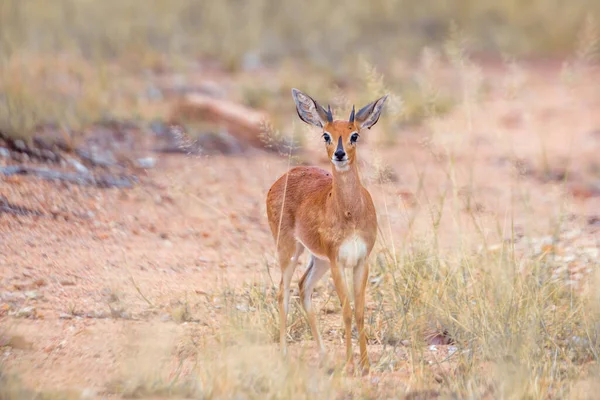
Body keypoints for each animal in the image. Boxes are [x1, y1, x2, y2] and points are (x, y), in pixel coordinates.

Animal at [264, 87, 386, 376]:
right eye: (326, 135)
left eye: (354, 134)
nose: (339, 154)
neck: (350, 214)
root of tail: (283, 178)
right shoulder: (337, 262)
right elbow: (346, 310)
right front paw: (351, 365)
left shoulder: (361, 261)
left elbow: (360, 311)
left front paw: (366, 366)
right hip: (289, 250)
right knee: (282, 292)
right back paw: (284, 354)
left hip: (317, 259)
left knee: (303, 287)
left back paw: (322, 354)